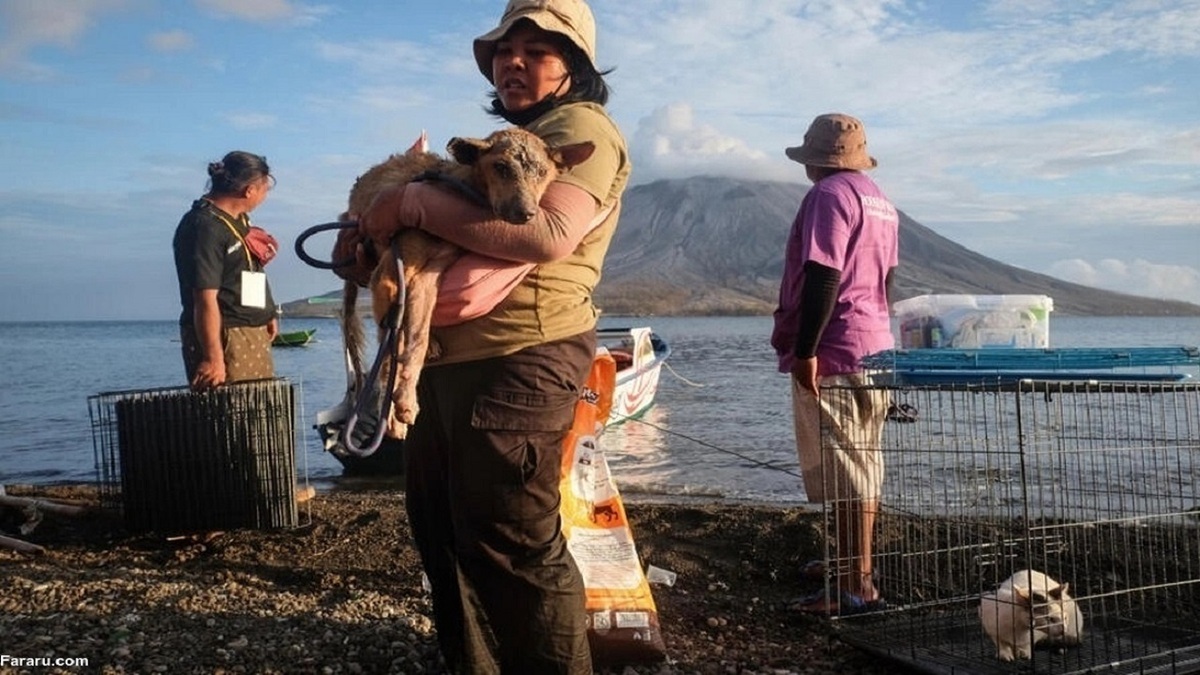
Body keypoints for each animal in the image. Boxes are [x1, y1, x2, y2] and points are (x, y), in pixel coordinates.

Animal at [343, 128, 595, 439]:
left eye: (542, 172)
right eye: (500, 167)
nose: (526, 213)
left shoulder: (429, 276)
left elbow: (416, 339)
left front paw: (404, 400)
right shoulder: (389, 275)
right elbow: (391, 352)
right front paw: (394, 412)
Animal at [820, 379, 1200, 672]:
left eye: (1056, 616)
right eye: (1046, 615)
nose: (1059, 627)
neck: (1022, 624)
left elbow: (1027, 647)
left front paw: (1024, 655)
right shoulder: (993, 619)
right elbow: (1001, 642)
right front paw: (1006, 655)